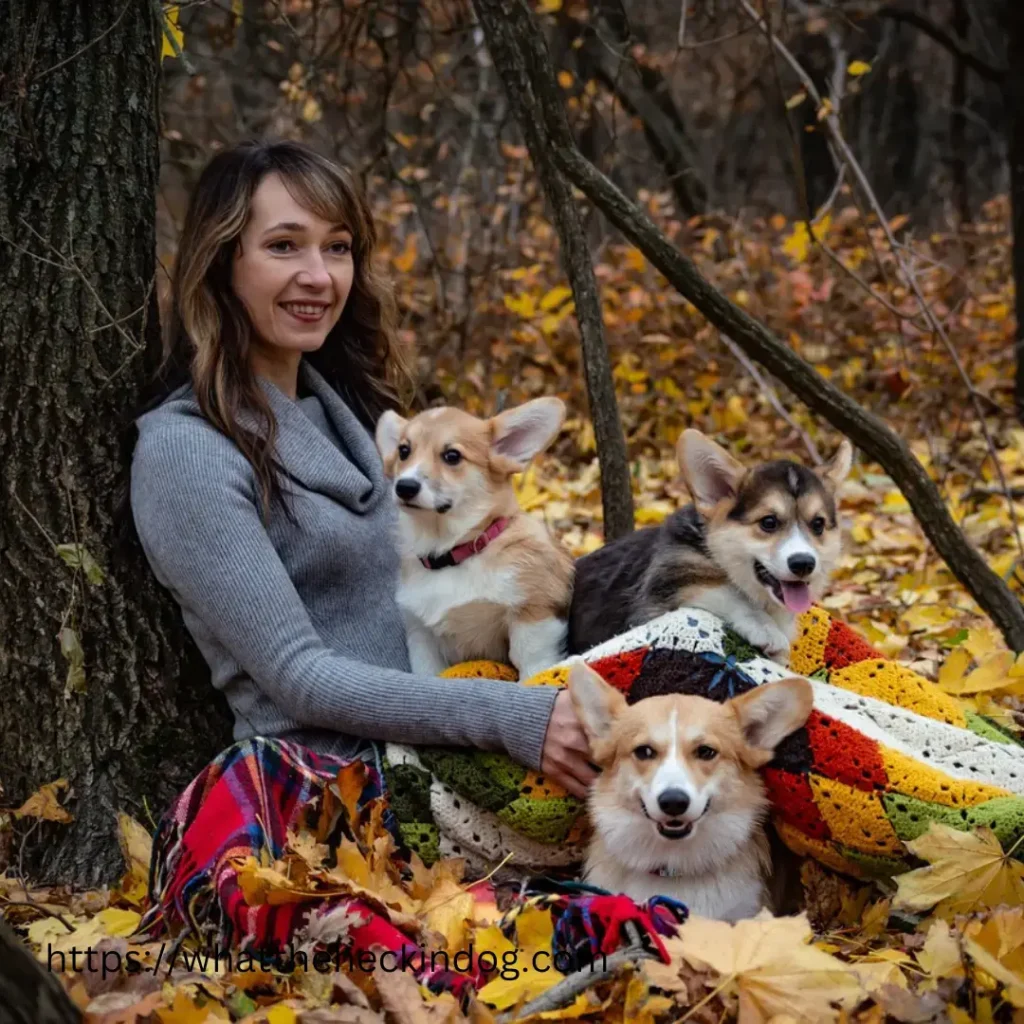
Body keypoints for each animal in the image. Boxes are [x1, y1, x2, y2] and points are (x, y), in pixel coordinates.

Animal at [374, 397, 573, 679]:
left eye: (452, 456)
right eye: (404, 451)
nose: (404, 487)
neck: (451, 551)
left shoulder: (534, 612)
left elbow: (531, 662)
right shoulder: (421, 636)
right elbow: (426, 673)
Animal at [569, 428, 847, 659]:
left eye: (818, 524)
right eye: (769, 522)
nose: (804, 564)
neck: (714, 553)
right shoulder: (666, 586)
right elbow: (726, 593)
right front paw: (765, 627)